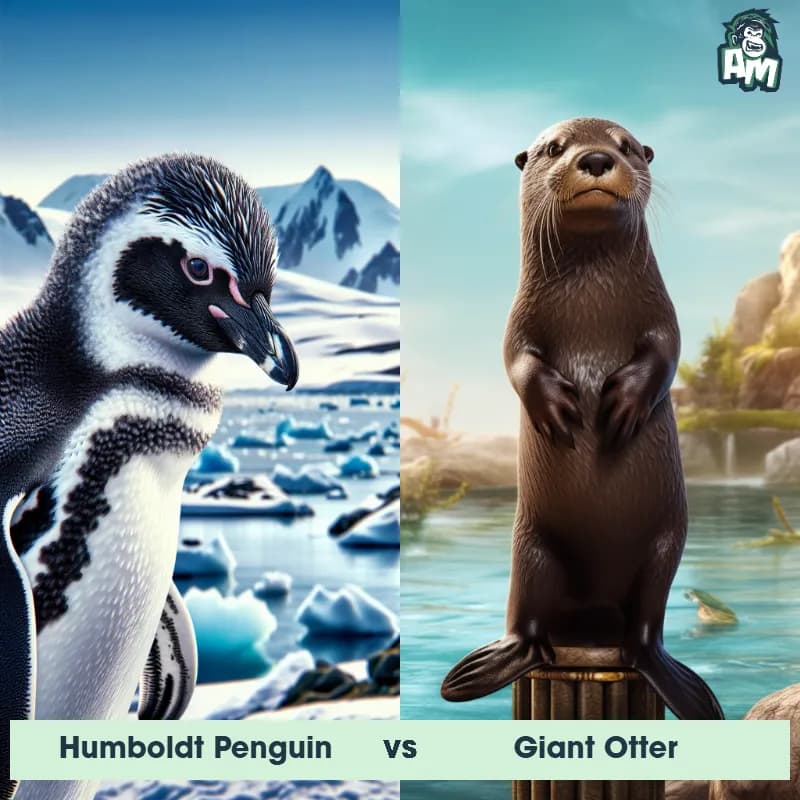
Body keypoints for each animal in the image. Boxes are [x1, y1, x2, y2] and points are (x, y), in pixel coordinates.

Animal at [440, 117, 723, 720]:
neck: (591, 307)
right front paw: (559, 409)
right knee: (527, 620)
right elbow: (517, 361)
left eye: (627, 146)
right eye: (553, 148)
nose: (594, 158)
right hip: (533, 549)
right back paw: (493, 663)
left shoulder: (664, 316)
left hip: (664, 545)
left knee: (646, 627)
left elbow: (666, 353)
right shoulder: (518, 323)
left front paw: (622, 403)